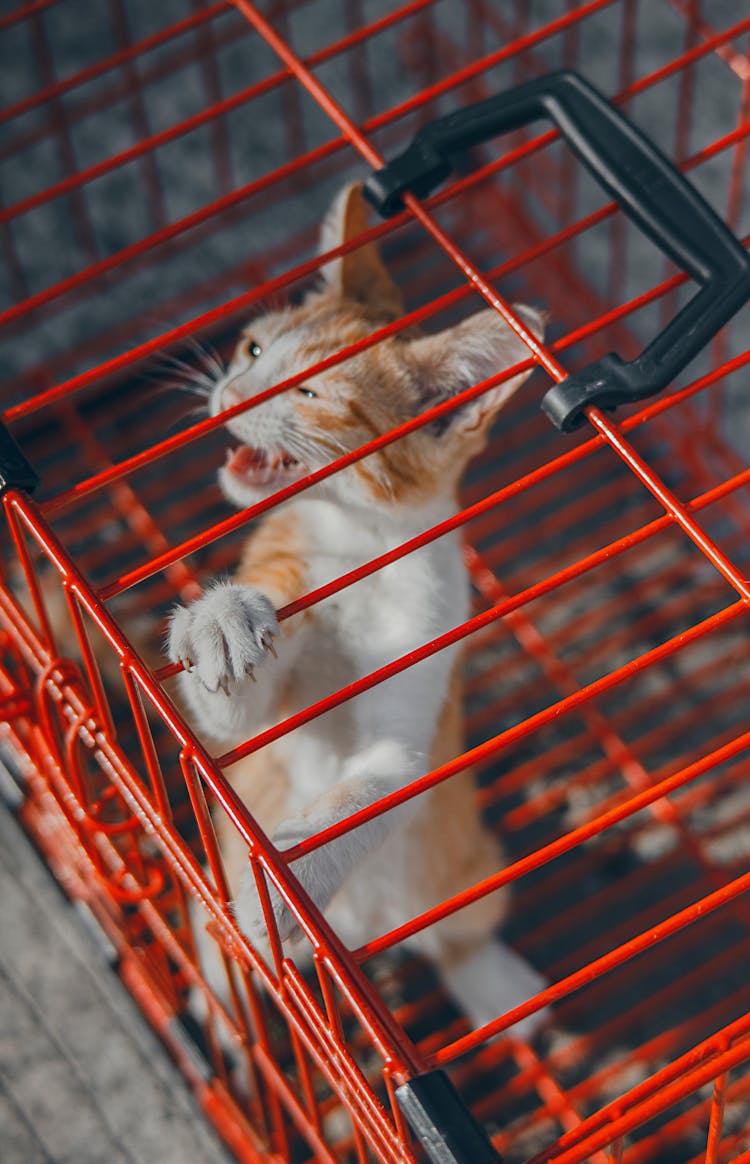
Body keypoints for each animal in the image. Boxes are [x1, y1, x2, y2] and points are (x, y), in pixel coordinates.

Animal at [166, 181, 547, 1038]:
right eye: (253, 351)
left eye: (308, 393)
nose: (228, 395)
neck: (359, 548)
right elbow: (237, 713)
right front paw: (221, 619)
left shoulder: (409, 735)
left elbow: (364, 793)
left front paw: (283, 894)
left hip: (464, 865)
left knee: (462, 935)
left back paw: (497, 987)